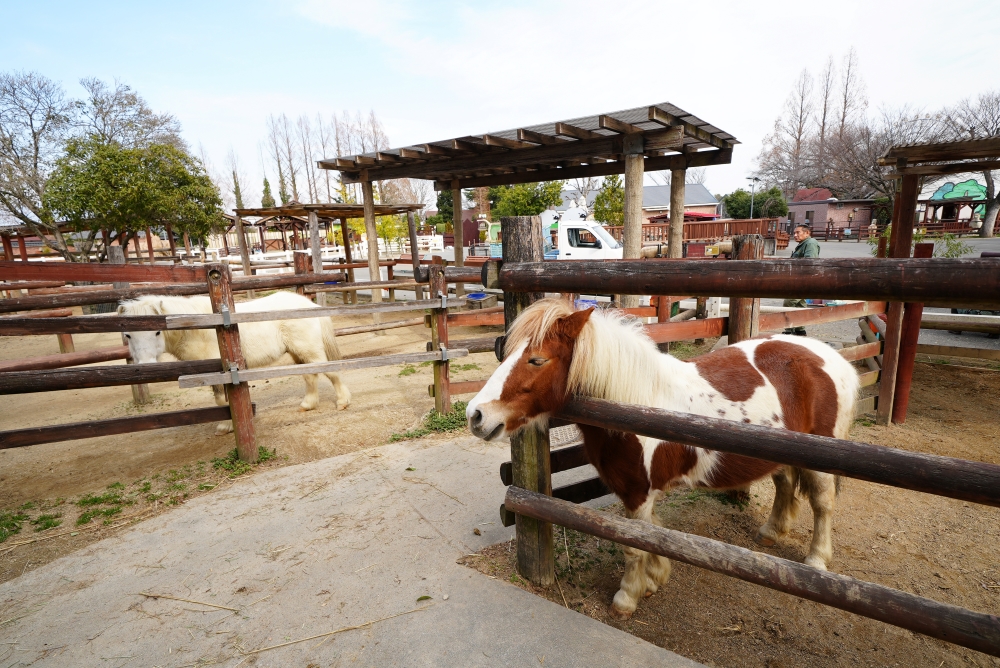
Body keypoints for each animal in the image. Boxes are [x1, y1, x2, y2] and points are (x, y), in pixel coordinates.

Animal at [120, 292, 352, 434]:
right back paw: (308, 405)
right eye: (128, 335)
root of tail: (309, 304)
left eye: (157, 332)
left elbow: (222, 400)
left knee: (331, 373)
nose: (146, 364)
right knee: (310, 375)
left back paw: (343, 402)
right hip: (299, 353)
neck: (196, 327)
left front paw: (226, 426)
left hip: (309, 349)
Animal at [468, 300, 860, 620]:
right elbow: (654, 534)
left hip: (822, 459)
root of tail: (831, 358)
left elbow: (634, 545)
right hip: (779, 454)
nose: (475, 415)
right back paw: (770, 532)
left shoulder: (638, 493)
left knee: (823, 503)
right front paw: (656, 578)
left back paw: (817, 560)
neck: (636, 406)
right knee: (785, 485)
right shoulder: (641, 492)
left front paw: (627, 598)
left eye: (537, 359)